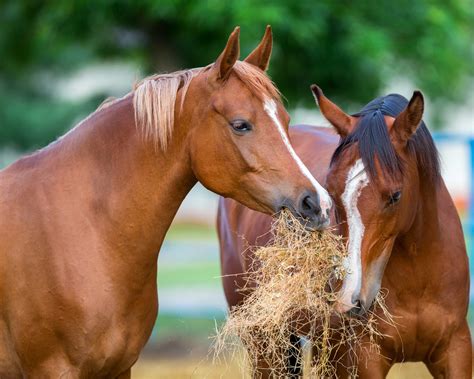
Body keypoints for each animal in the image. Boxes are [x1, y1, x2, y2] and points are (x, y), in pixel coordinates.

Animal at [218, 88, 470, 378]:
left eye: (395, 196)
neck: (419, 279)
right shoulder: (362, 359)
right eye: (331, 191)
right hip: (265, 345)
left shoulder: (456, 350)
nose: (350, 298)